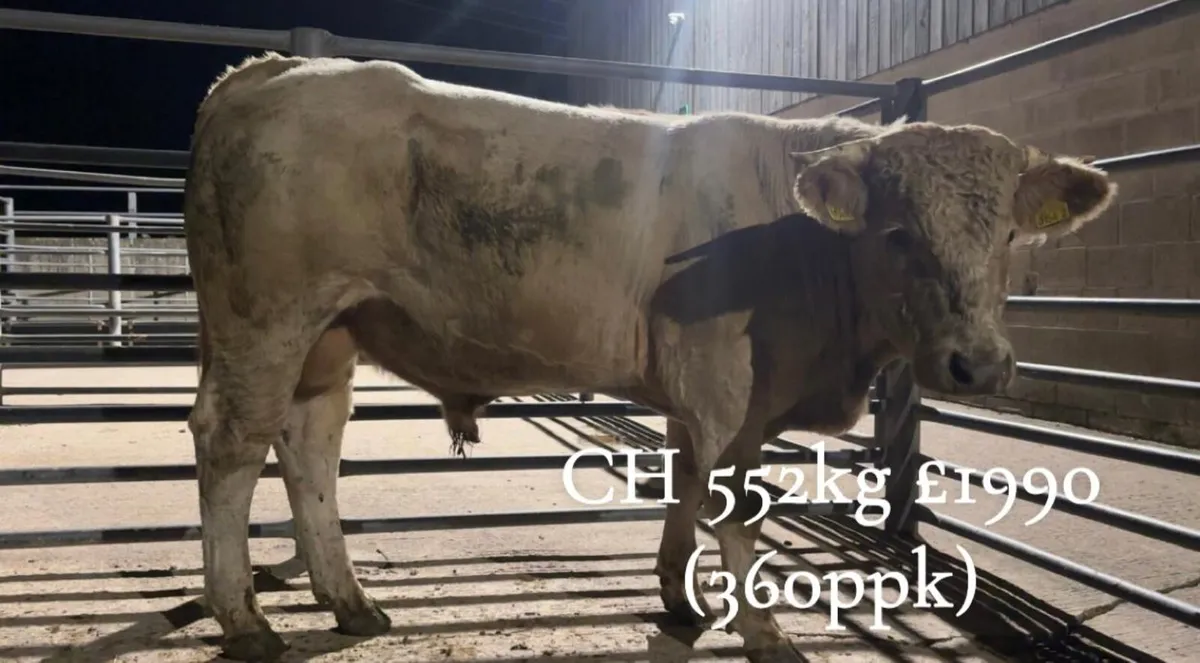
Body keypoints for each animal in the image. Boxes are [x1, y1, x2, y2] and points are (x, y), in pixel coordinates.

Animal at [183, 51, 1116, 662]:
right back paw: (245, 619)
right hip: (267, 319)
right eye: (897, 233)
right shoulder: (724, 384)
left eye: (1007, 236)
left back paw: (349, 601)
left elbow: (686, 485)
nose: (977, 364)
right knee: (232, 442)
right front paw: (763, 630)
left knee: (308, 447)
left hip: (329, 337)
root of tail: (272, 70)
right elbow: (735, 503)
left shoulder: (697, 396)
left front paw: (680, 595)